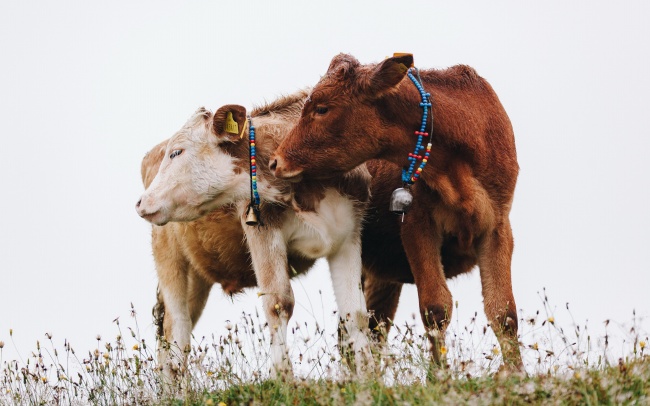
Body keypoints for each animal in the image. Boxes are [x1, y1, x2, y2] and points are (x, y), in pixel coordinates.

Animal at [272, 54, 520, 372]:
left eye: (322, 108)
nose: (275, 161)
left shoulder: (498, 226)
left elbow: (504, 313)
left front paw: (518, 375)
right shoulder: (416, 224)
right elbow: (435, 307)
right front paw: (440, 377)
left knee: (372, 327)